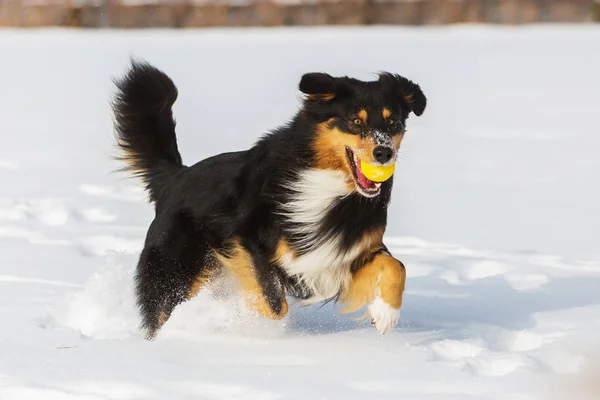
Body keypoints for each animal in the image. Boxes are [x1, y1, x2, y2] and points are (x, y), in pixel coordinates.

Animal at [109, 60, 426, 340]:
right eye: (355, 121)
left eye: (393, 122)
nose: (384, 153)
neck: (328, 182)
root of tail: (175, 178)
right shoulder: (246, 239)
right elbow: (275, 303)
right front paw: (232, 319)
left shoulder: (344, 249)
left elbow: (396, 265)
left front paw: (384, 313)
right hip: (175, 268)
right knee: (162, 309)